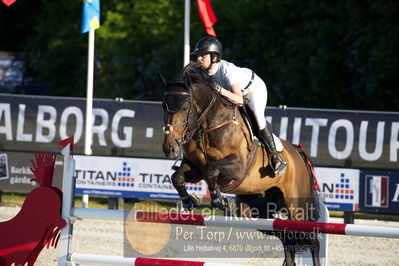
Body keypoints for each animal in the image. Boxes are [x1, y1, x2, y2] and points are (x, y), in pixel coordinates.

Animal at [159, 61, 322, 264]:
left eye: (184, 107)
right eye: (163, 106)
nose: (170, 149)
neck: (207, 126)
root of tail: (297, 152)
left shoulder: (238, 167)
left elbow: (211, 171)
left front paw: (220, 200)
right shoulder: (194, 168)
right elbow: (178, 177)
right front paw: (190, 201)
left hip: (297, 206)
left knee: (312, 239)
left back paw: (277, 163)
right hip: (256, 210)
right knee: (286, 236)